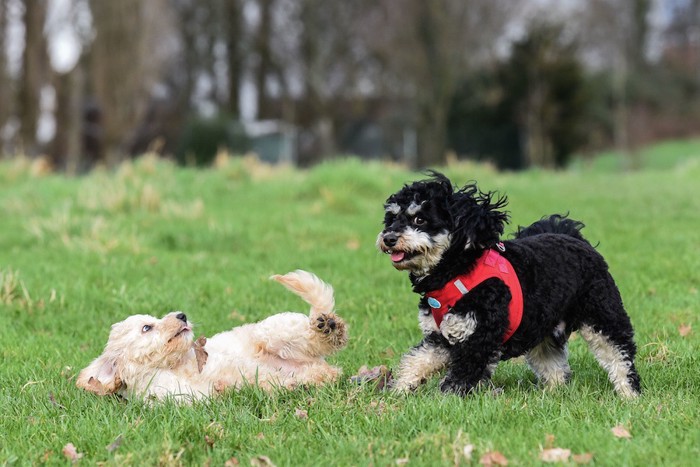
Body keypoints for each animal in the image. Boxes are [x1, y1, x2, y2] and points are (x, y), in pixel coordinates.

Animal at [76, 270, 348, 402]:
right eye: (147, 328)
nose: (182, 315)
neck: (169, 368)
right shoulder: (182, 399)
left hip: (273, 331)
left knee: (309, 337)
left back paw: (329, 327)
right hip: (314, 367)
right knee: (324, 374)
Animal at [378, 172, 640, 398]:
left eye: (420, 219)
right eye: (392, 218)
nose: (388, 238)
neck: (456, 271)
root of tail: (573, 238)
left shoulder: (480, 338)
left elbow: (459, 378)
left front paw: (444, 402)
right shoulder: (442, 337)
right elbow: (417, 360)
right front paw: (398, 392)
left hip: (602, 316)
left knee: (620, 356)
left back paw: (630, 395)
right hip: (542, 329)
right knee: (554, 367)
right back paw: (551, 395)